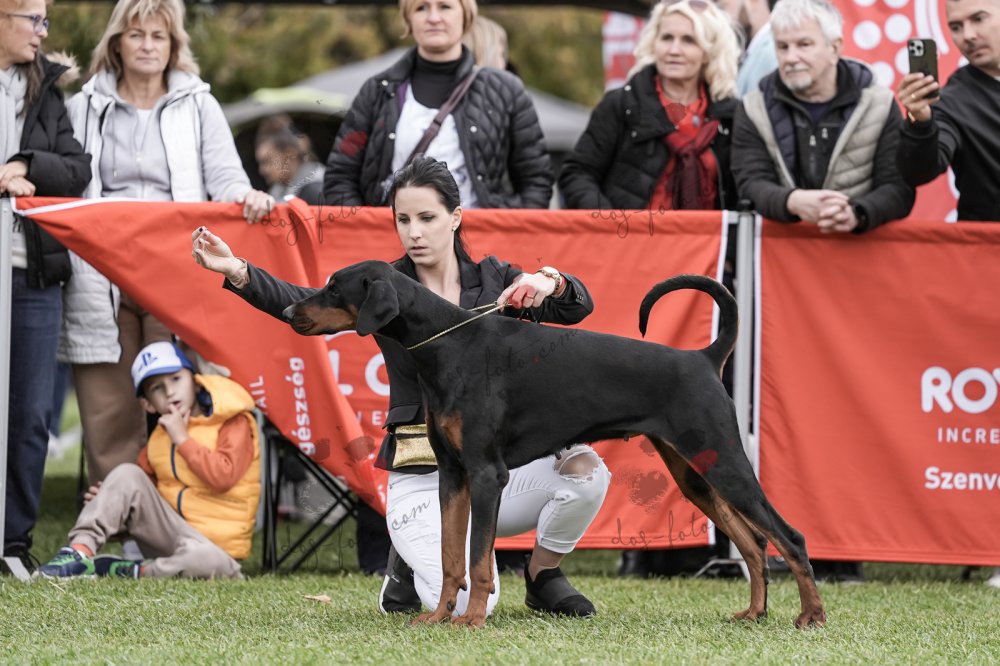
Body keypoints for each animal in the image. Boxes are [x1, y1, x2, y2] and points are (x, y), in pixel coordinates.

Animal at [282, 260, 826, 629]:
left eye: (334, 286)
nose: (287, 310)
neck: (446, 344)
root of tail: (703, 357)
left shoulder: (486, 473)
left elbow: (478, 559)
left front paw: (471, 620)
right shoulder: (454, 475)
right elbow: (451, 556)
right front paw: (438, 617)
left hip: (724, 462)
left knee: (790, 536)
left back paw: (811, 617)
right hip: (694, 474)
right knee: (754, 542)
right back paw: (754, 613)